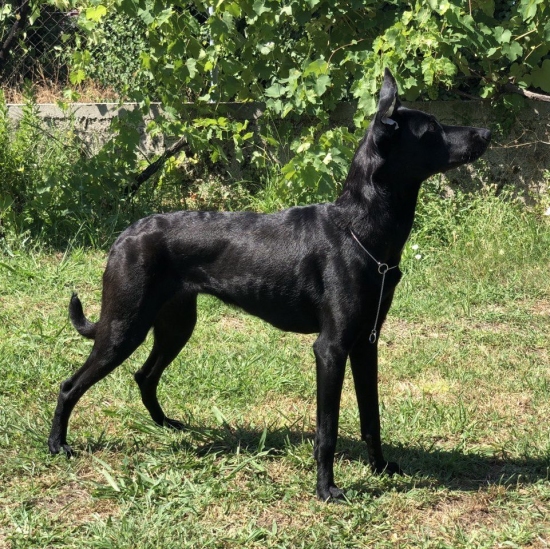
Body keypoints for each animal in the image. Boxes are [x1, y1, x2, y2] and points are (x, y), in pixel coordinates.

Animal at [49, 70, 494, 498]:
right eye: (431, 129)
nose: (487, 132)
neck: (359, 229)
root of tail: (125, 235)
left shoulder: (366, 344)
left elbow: (372, 418)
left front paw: (381, 468)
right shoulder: (330, 349)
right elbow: (328, 430)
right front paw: (326, 489)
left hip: (175, 325)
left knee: (144, 375)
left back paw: (168, 427)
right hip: (124, 328)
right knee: (70, 385)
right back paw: (58, 445)